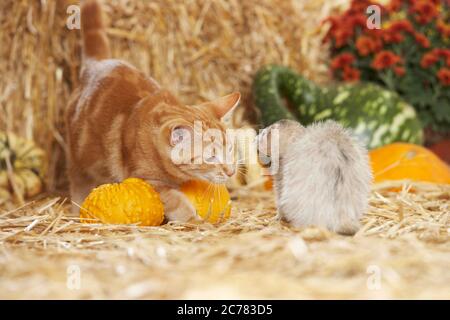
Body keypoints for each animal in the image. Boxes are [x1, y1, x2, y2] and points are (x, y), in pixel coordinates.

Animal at [66, 0, 239, 221]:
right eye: (210, 157)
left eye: (231, 149)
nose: (231, 172)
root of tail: (98, 63)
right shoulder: (149, 181)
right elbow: (178, 202)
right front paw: (194, 220)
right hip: (79, 160)